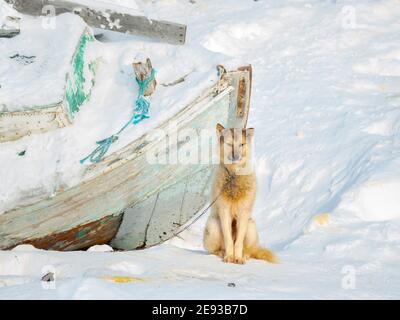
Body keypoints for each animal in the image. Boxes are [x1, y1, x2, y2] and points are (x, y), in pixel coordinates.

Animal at [203, 124, 276, 264]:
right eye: (229, 144)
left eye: (241, 144)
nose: (236, 156)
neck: (234, 176)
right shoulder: (224, 211)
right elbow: (229, 240)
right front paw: (229, 257)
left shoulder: (243, 213)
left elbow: (238, 242)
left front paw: (237, 258)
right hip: (213, 225)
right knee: (214, 250)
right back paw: (222, 253)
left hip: (251, 226)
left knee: (249, 251)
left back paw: (244, 256)